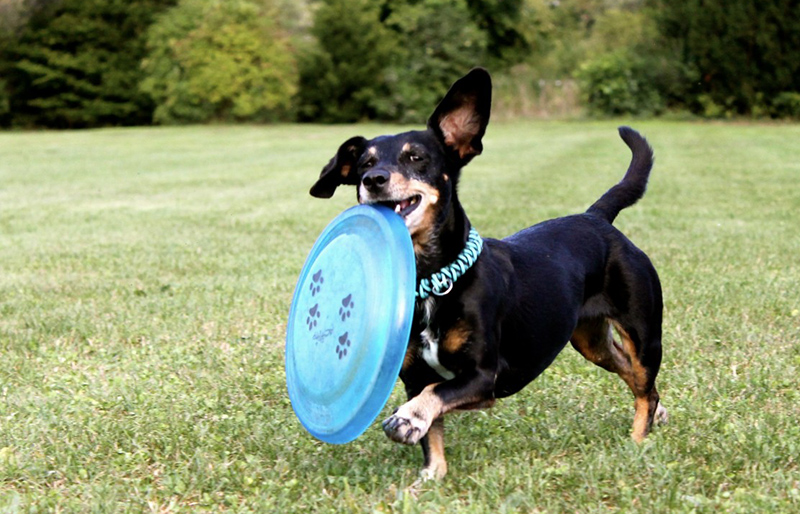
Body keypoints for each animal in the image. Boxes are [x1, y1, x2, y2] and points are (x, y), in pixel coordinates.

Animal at [310, 69, 664, 480]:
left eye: (416, 157)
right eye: (364, 165)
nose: (374, 179)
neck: (434, 283)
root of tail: (597, 218)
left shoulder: (484, 377)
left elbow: (436, 396)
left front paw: (408, 419)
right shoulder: (416, 376)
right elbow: (432, 432)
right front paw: (431, 475)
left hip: (643, 333)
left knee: (645, 382)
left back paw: (638, 438)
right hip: (591, 341)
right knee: (632, 374)